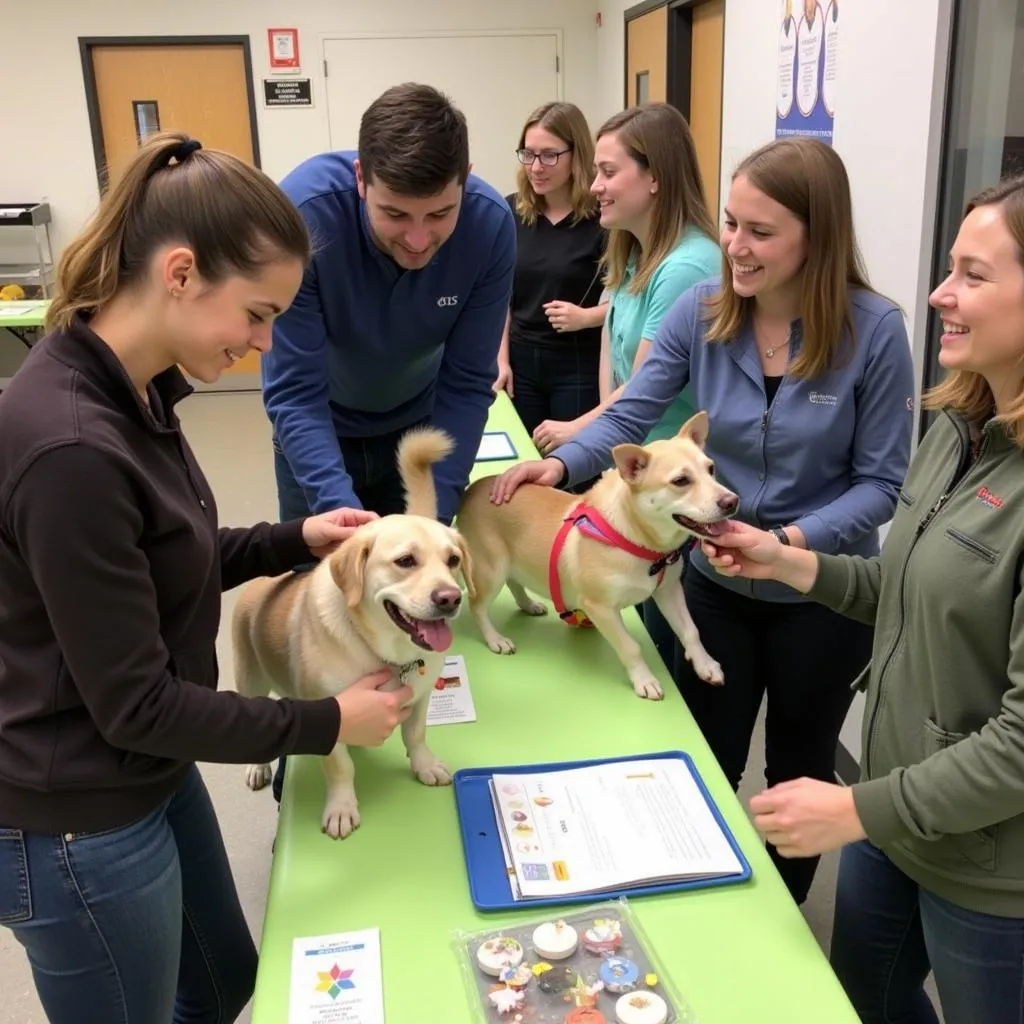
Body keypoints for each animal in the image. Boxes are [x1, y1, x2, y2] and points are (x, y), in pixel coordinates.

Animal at [232, 428, 471, 835]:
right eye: (405, 561)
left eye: (453, 560)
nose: (449, 598)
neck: (387, 654)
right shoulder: (330, 716)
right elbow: (340, 767)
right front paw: (341, 807)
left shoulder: (421, 696)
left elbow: (416, 735)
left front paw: (423, 765)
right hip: (250, 681)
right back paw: (257, 767)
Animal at [456, 411, 737, 700]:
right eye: (681, 481)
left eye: (711, 469)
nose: (732, 502)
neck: (641, 543)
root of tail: (473, 489)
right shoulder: (600, 608)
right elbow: (630, 647)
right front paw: (644, 679)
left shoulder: (668, 590)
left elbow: (690, 630)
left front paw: (705, 664)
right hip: (491, 570)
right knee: (478, 606)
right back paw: (495, 639)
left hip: (509, 563)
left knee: (514, 582)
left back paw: (528, 604)